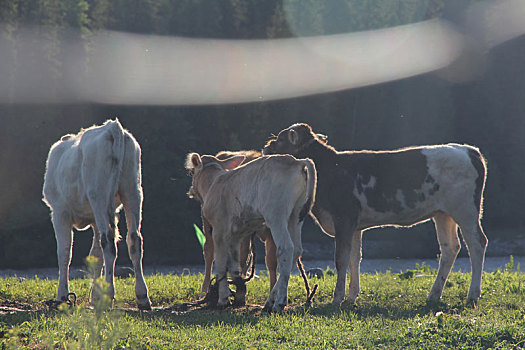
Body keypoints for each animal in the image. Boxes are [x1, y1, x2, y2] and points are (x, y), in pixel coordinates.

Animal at [42, 119, 150, 310]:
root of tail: (112, 127)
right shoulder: (95, 218)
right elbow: (96, 255)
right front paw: (95, 296)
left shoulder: (59, 212)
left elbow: (64, 253)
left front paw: (62, 296)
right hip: (133, 190)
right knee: (134, 240)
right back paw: (142, 296)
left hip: (99, 195)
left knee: (109, 243)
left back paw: (110, 294)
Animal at [264, 124, 490, 304]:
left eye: (281, 139)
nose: (266, 146)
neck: (331, 168)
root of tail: (468, 150)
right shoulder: (354, 226)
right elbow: (355, 258)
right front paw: (352, 296)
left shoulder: (343, 220)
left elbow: (341, 260)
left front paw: (337, 298)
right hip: (443, 214)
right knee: (450, 248)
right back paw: (434, 294)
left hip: (466, 211)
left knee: (477, 244)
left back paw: (473, 294)